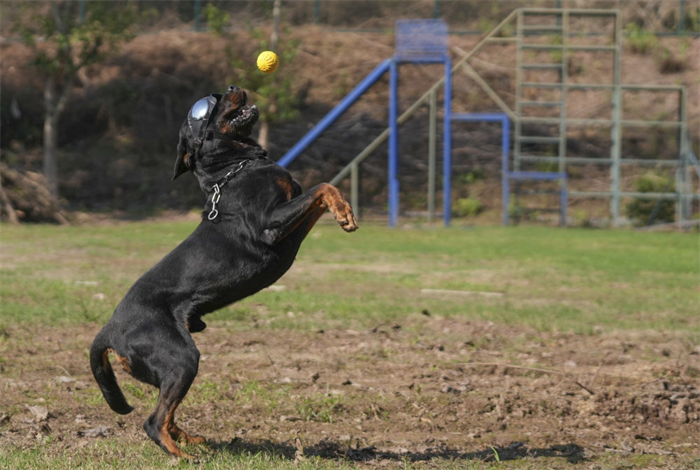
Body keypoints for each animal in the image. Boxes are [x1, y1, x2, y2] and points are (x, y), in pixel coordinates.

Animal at [89, 85, 358, 458]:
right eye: (206, 110)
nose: (230, 88)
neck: (233, 169)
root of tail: (109, 330)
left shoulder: (292, 225)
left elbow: (320, 192)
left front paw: (344, 212)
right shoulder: (270, 225)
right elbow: (322, 185)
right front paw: (345, 214)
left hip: (169, 367)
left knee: (166, 412)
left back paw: (189, 439)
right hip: (181, 357)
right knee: (153, 421)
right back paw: (181, 456)